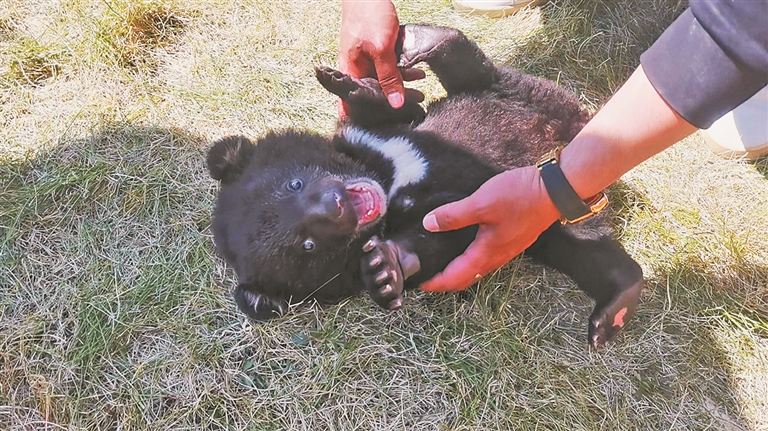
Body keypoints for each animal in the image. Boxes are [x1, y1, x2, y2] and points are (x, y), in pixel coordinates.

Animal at [206, 24, 643, 348]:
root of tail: (574, 127)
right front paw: (385, 269)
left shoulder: (384, 129)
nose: (335, 205)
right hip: (553, 227)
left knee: (473, 65)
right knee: (594, 254)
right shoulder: (448, 220)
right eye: (307, 246)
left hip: (520, 91)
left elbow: (388, 107)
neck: (386, 180)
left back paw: (421, 39)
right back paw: (613, 310)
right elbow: (430, 246)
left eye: (295, 183)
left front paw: (343, 81)